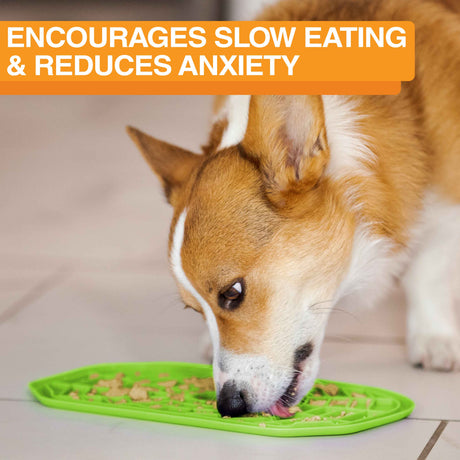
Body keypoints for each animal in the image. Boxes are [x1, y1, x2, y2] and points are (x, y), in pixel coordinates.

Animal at [126, 0, 460, 416]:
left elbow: (427, 270)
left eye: (233, 293)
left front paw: (433, 338)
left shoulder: (446, 200)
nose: (228, 405)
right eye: (195, 310)